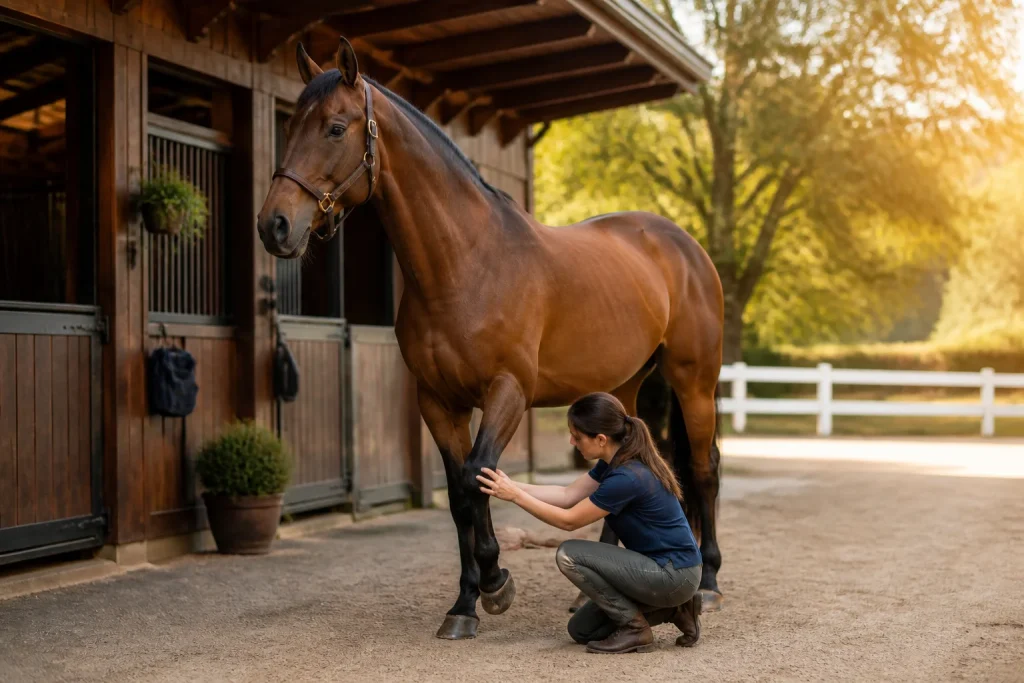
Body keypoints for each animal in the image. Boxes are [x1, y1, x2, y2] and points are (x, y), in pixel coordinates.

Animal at [257, 38, 726, 640]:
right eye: (291, 125)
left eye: (336, 128)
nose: (274, 226)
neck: (465, 263)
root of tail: (683, 244)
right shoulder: (437, 401)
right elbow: (459, 490)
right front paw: (465, 602)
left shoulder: (508, 392)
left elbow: (478, 474)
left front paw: (496, 581)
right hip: (622, 385)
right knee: (620, 463)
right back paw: (591, 591)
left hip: (695, 381)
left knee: (704, 469)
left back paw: (708, 583)